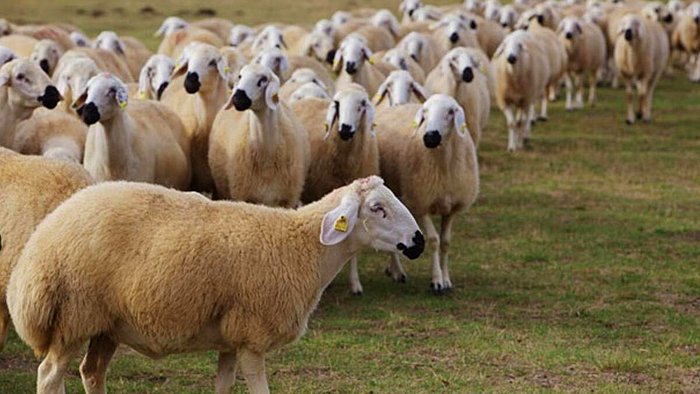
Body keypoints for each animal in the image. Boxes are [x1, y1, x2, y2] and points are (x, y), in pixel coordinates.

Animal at [5, 176, 424, 394]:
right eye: (377, 209)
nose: (418, 241)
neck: (301, 247)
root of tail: (40, 240)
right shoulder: (253, 338)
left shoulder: (230, 339)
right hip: (72, 315)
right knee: (49, 375)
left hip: (107, 325)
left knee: (90, 372)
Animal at [372, 94, 482, 292]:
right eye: (425, 112)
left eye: (450, 111)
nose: (430, 137)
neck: (444, 165)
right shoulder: (421, 203)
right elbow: (433, 240)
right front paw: (437, 281)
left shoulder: (452, 208)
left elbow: (445, 242)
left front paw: (446, 279)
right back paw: (397, 272)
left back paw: (392, 269)